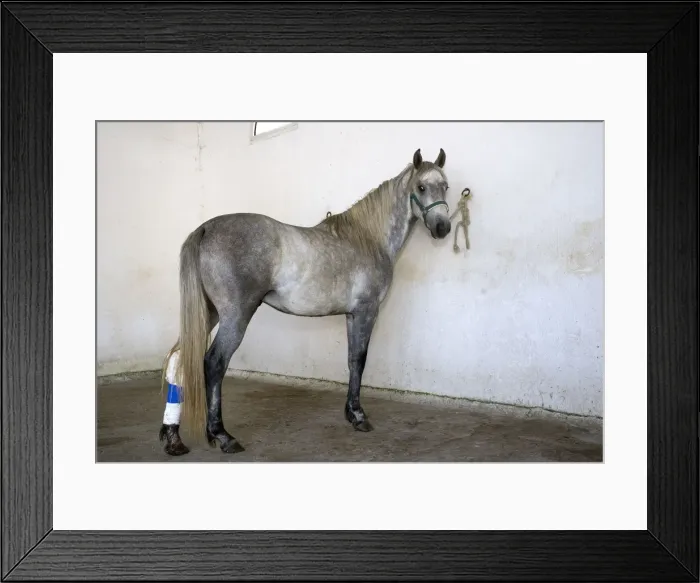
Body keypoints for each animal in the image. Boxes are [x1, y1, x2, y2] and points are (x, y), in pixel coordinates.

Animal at [158, 148, 453, 456]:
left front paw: (351, 413)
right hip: (235, 316)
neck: (368, 239)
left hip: (209, 313)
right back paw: (222, 435)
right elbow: (360, 359)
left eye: (445, 186)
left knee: (177, 359)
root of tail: (205, 228)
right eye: (421, 187)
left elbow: (352, 360)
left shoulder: (352, 315)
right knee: (214, 363)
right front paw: (359, 416)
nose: (443, 227)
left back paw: (173, 437)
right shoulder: (366, 311)